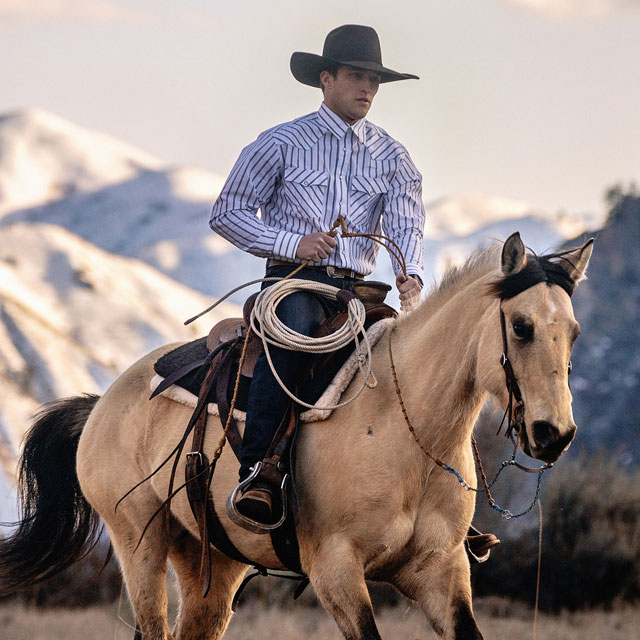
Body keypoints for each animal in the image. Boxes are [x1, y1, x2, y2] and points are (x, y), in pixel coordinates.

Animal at [0, 231, 592, 640]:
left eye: (574, 332)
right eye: (522, 327)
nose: (554, 434)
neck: (411, 434)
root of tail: (103, 403)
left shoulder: (439, 571)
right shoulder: (335, 569)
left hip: (212, 560)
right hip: (138, 541)